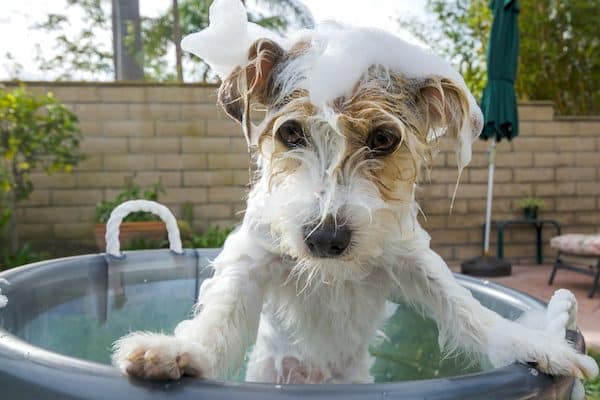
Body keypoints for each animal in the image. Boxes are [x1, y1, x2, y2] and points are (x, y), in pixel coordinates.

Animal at [111, 0, 596, 388]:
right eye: (290, 132)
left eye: (383, 139)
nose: (325, 239)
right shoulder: (254, 256)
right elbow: (222, 312)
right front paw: (181, 352)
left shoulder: (409, 259)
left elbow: (465, 309)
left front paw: (531, 344)